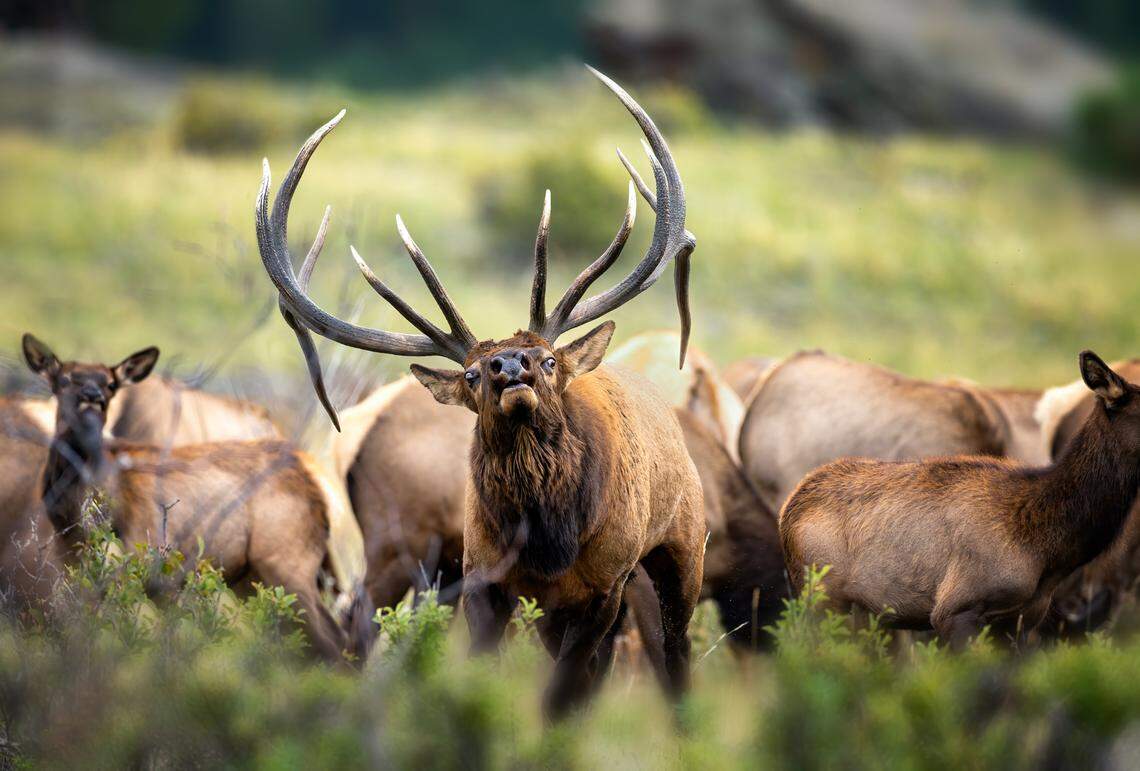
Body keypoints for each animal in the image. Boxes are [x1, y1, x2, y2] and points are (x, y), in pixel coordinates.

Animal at [21, 334, 372, 663]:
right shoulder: (71, 562)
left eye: (111, 383)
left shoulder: (146, 558)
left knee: (335, 641)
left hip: (288, 561)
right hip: (253, 577)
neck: (73, 511)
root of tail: (317, 478)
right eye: (64, 379)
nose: (92, 398)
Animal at [257, 67, 706, 717]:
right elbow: (488, 671)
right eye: (469, 375)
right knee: (359, 616)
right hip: (404, 542)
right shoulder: (484, 579)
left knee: (673, 654)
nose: (508, 365)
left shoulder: (604, 585)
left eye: (549, 359)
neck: (548, 538)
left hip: (679, 552)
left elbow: (566, 689)